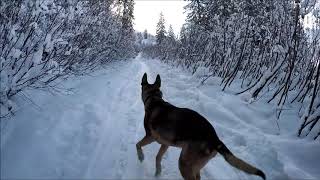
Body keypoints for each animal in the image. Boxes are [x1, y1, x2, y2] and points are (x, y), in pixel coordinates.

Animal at [136, 73, 266, 180]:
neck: (154, 98)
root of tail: (215, 139)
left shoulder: (150, 137)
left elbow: (138, 144)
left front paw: (141, 157)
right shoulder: (165, 144)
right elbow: (158, 157)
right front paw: (157, 173)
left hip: (184, 164)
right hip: (194, 165)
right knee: (198, 177)